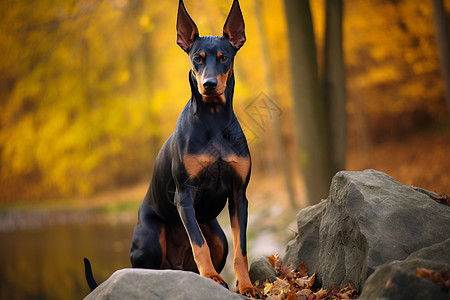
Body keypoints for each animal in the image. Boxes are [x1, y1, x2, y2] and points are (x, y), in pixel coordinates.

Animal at [85, 0, 256, 298]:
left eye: (224, 57)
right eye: (197, 58)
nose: (209, 85)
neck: (214, 119)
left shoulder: (239, 196)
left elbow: (241, 250)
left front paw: (246, 285)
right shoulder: (184, 194)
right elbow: (198, 244)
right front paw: (211, 277)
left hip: (218, 235)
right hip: (151, 239)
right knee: (147, 271)